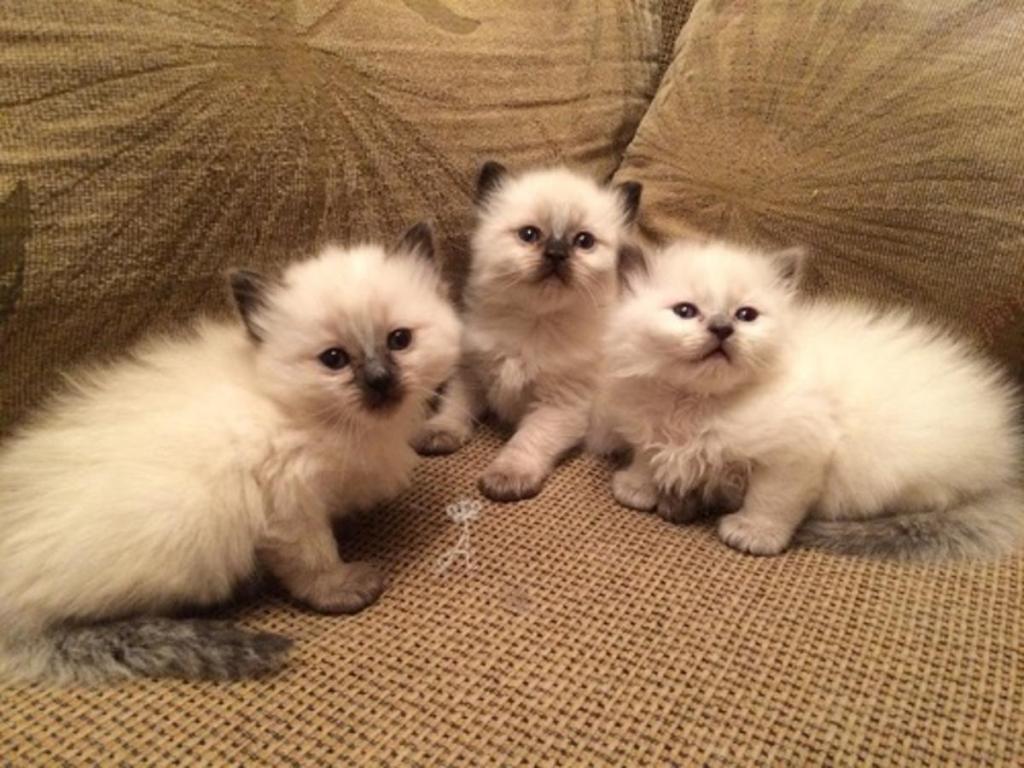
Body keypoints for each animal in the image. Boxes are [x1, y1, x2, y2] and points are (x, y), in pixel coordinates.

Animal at [0, 224, 460, 684]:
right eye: (334, 359)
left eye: (399, 340)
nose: (380, 381)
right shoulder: (289, 507)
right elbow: (314, 560)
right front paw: (341, 587)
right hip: (186, 522)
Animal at [413, 159, 638, 501]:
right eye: (529, 234)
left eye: (584, 241)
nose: (557, 254)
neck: (534, 323)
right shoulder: (472, 374)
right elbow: (455, 407)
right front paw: (440, 432)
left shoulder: (559, 404)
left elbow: (527, 441)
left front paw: (508, 476)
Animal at [598, 237, 1024, 561]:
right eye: (685, 311)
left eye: (746, 315)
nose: (722, 329)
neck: (698, 403)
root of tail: (1005, 470)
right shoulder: (649, 424)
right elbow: (648, 456)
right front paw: (639, 487)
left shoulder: (796, 454)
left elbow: (771, 499)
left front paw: (754, 533)